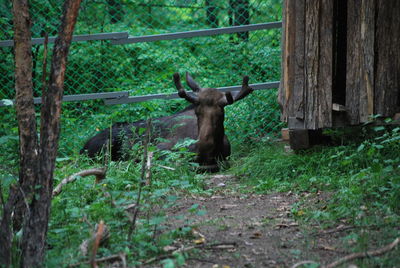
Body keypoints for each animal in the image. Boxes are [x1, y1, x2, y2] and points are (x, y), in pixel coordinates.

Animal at [81, 71, 253, 172]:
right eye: (197, 112)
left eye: (220, 114)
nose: (203, 145)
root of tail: (82, 148)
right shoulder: (160, 148)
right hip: (104, 146)